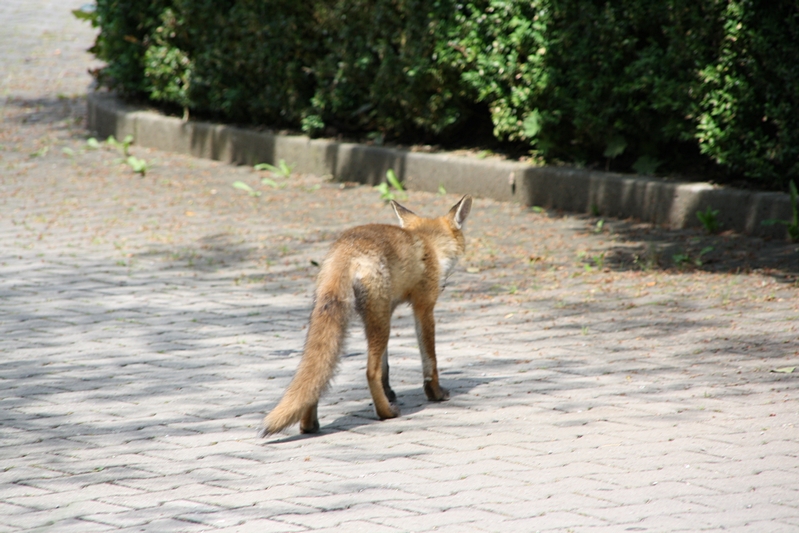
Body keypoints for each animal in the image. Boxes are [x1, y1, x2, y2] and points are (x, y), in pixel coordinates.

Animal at [259, 195, 473, 436]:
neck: (430, 245)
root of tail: (346, 249)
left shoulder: (389, 308)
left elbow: (386, 368)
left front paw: (389, 392)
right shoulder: (424, 308)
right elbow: (430, 361)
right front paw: (435, 393)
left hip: (353, 317)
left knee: (319, 376)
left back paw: (309, 425)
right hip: (379, 322)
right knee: (370, 371)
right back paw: (385, 413)